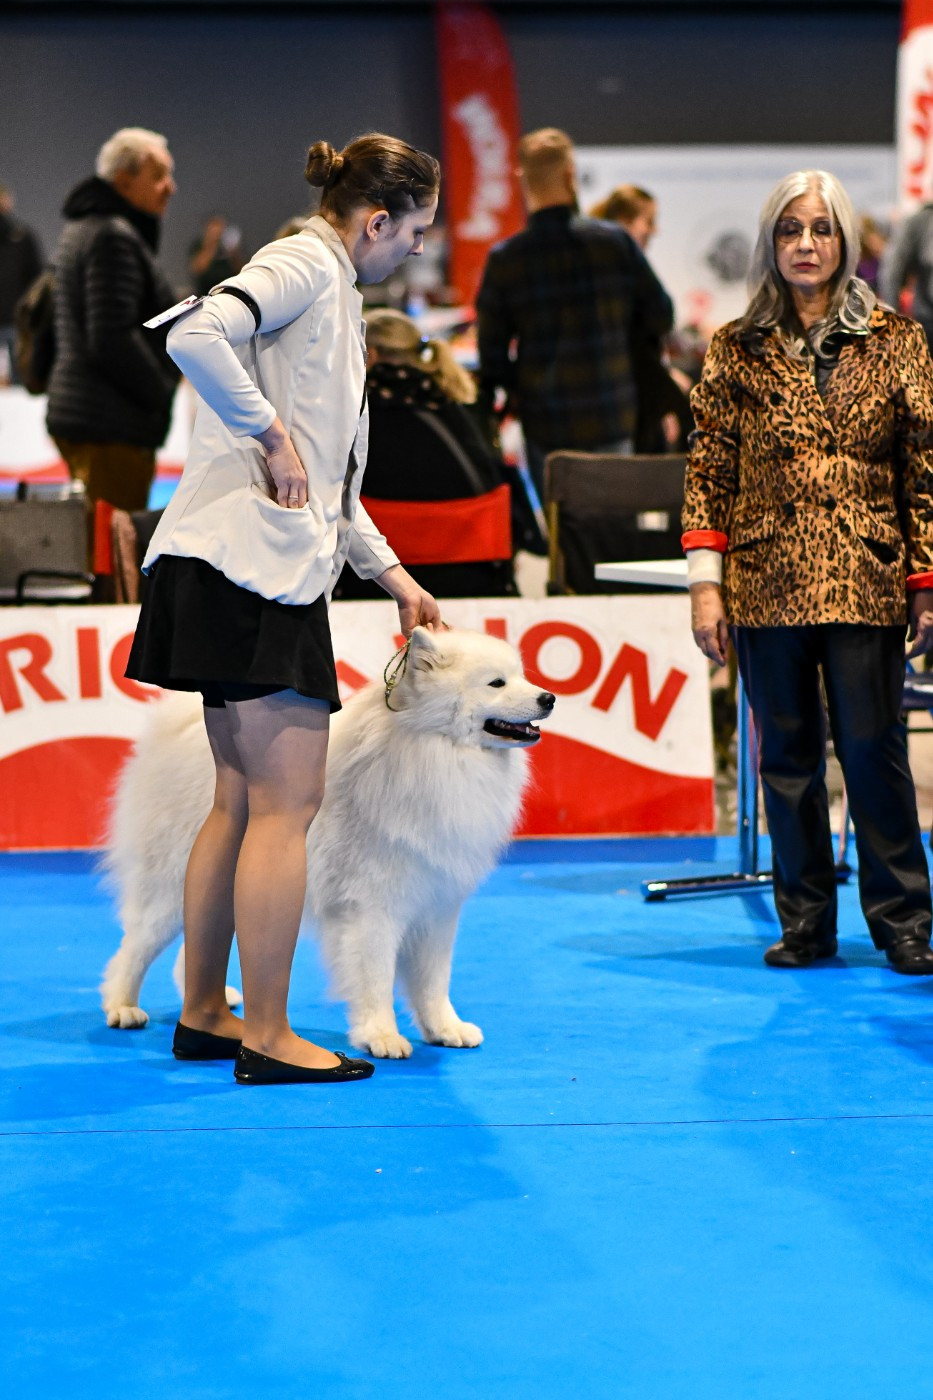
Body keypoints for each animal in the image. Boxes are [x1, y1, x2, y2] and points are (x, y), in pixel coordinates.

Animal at [101, 627, 555, 1057]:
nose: (549, 698)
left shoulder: (437, 904)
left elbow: (433, 979)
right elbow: (376, 977)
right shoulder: (372, 908)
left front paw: (446, 1029)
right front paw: (382, 1035)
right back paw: (122, 1006)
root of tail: (177, 733)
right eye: (496, 683)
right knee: (133, 946)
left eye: (521, 675)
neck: (430, 749)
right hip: (168, 887)